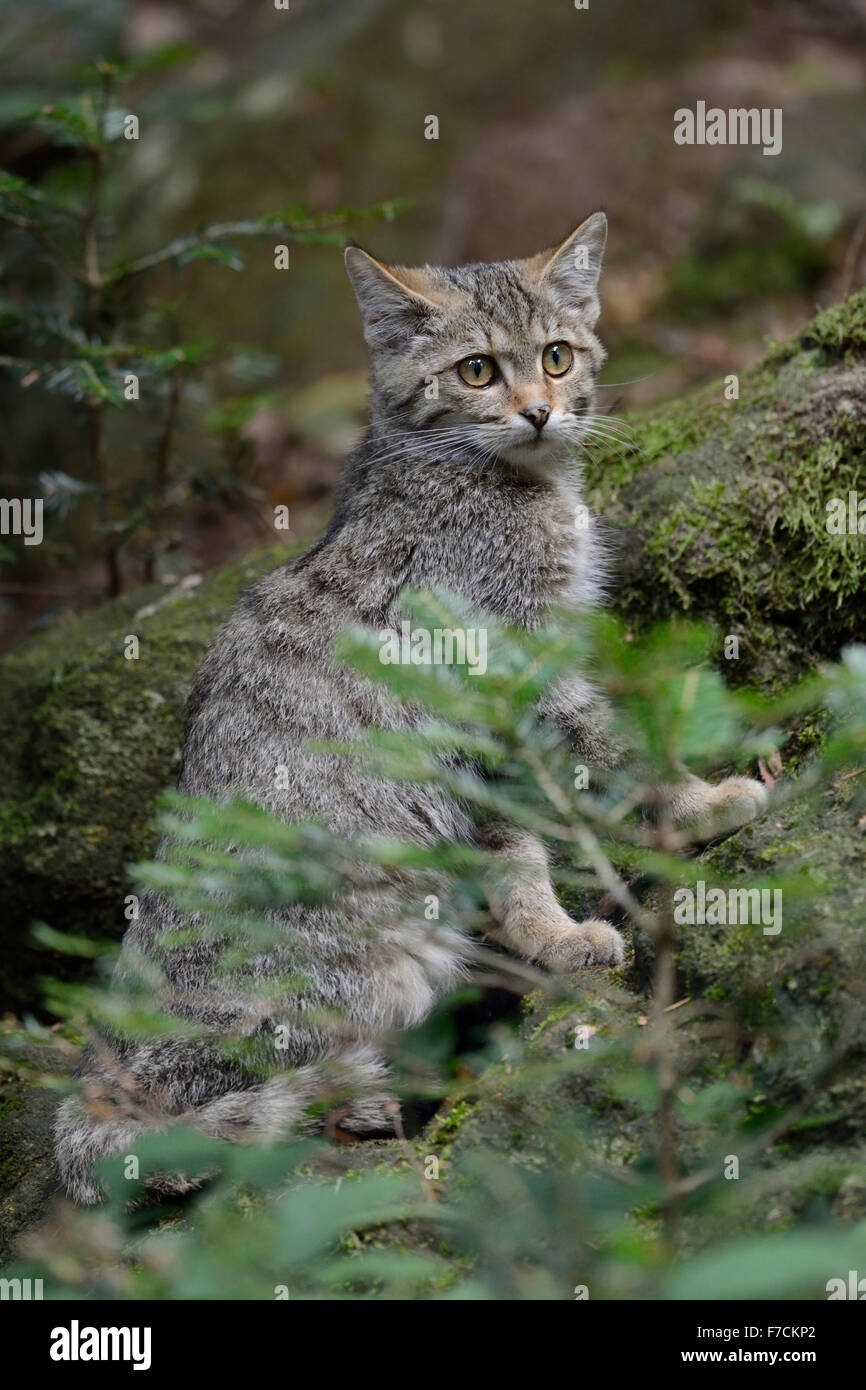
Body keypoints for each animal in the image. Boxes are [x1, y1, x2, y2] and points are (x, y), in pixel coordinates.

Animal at [52, 211, 767, 1200]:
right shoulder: (514, 676)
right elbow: (616, 759)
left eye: (556, 356)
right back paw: (349, 1103)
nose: (538, 411)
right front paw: (705, 804)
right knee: (215, 1125)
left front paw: (550, 937)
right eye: (476, 372)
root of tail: (93, 1080)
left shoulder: (489, 728)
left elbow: (514, 852)